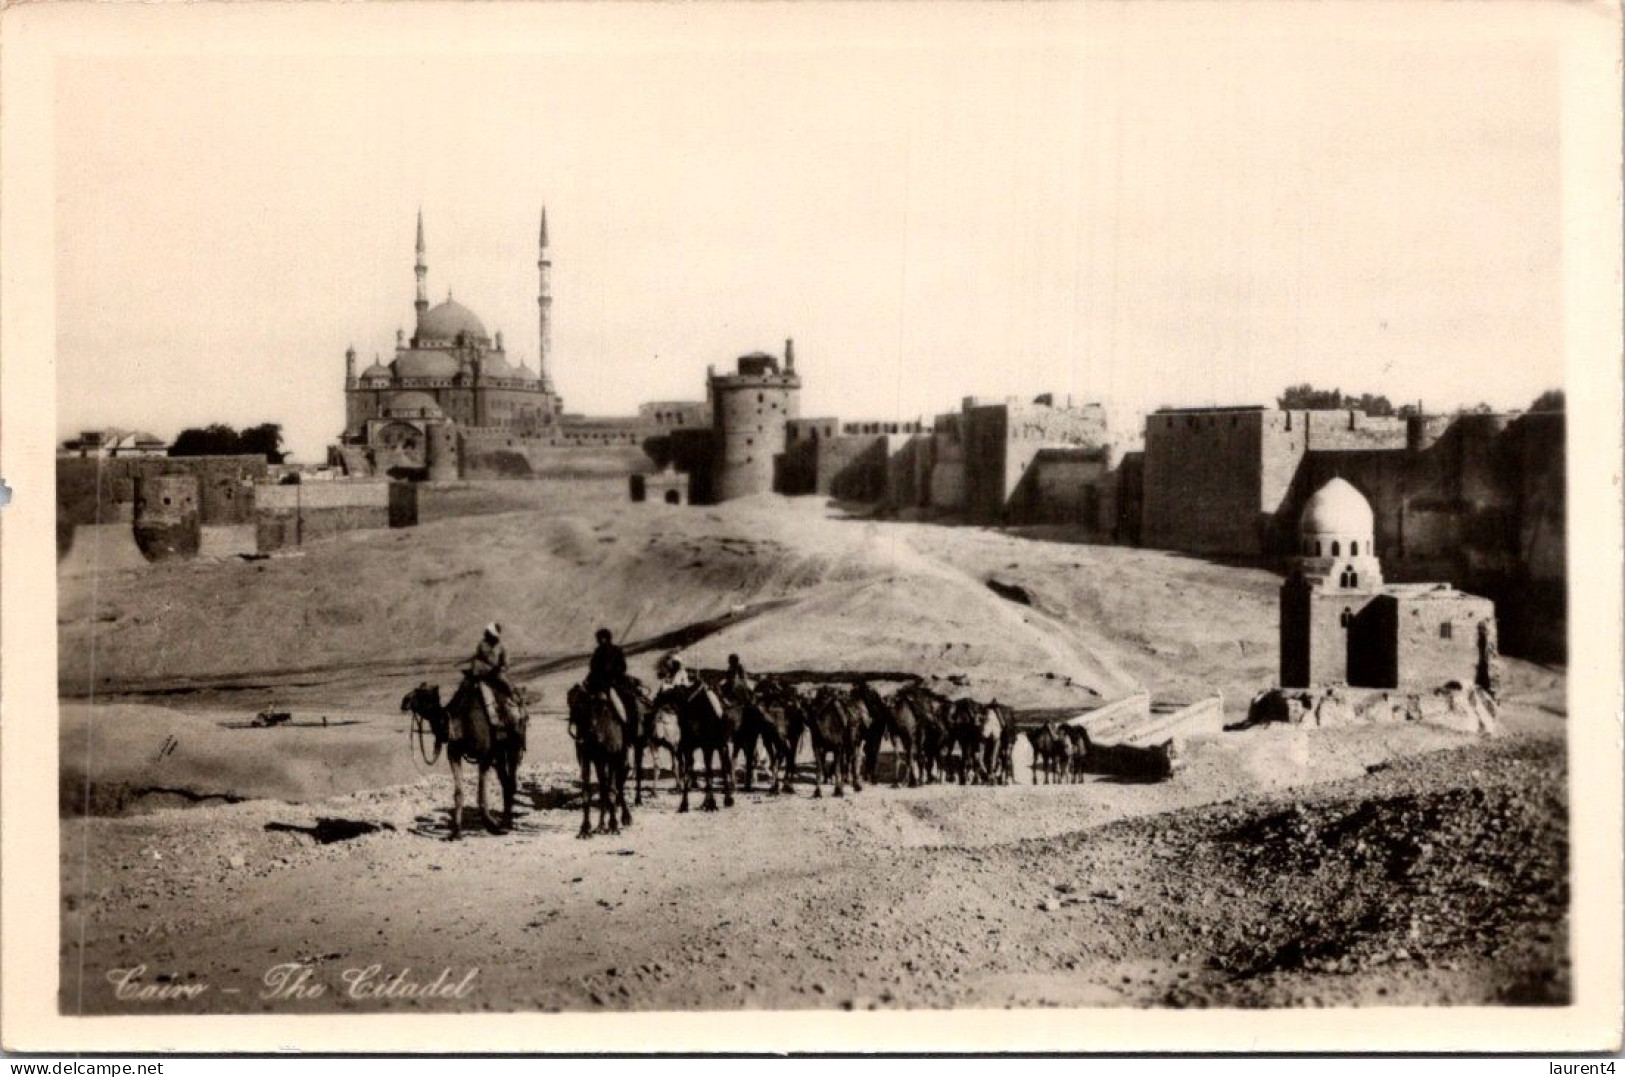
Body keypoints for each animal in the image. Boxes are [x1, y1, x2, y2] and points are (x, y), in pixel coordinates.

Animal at [401, 679, 523, 838]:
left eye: (424, 695)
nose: (404, 701)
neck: (461, 726)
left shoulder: (485, 756)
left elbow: (481, 792)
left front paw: (490, 824)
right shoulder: (454, 754)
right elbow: (458, 793)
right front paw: (455, 832)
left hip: (512, 746)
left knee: (511, 781)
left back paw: (507, 824)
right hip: (499, 754)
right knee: (505, 781)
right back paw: (505, 822)